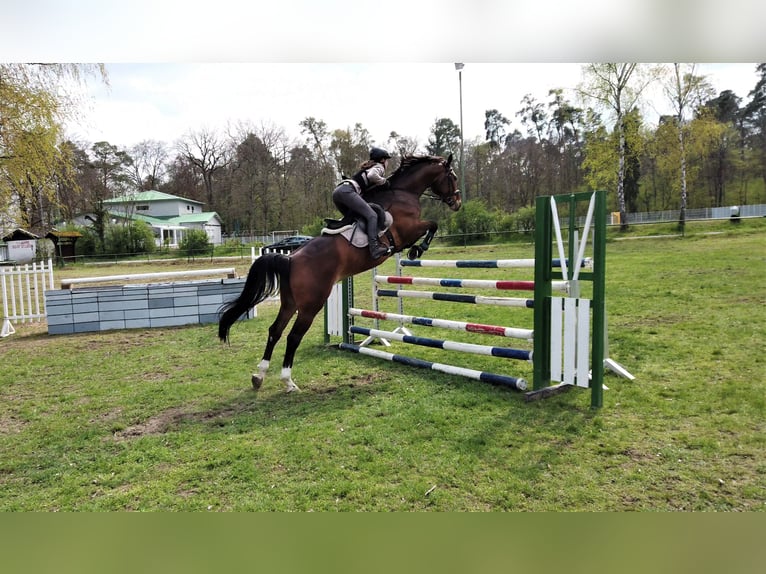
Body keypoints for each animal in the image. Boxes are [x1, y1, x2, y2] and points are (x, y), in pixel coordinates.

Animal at [219, 155, 464, 394]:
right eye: (452, 177)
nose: (457, 203)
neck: (404, 193)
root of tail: (291, 259)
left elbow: (432, 225)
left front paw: (416, 250)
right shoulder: (408, 230)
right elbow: (433, 225)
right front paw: (417, 250)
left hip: (290, 303)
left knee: (275, 331)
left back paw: (259, 376)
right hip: (311, 305)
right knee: (293, 336)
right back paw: (288, 382)